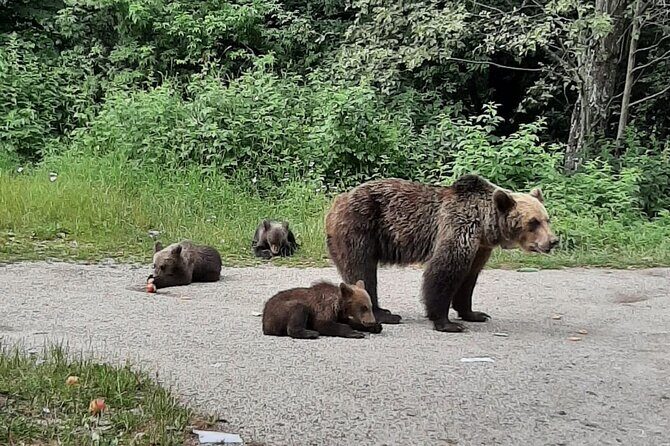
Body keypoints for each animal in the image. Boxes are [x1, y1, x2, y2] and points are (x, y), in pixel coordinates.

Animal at [325, 174, 559, 332]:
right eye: (533, 222)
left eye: (547, 219)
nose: (553, 241)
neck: (485, 226)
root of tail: (337, 201)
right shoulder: (459, 227)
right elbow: (443, 272)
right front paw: (447, 322)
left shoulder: (480, 248)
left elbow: (469, 279)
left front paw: (474, 314)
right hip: (360, 228)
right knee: (362, 270)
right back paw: (384, 314)